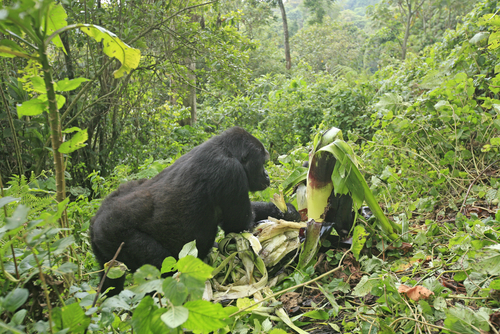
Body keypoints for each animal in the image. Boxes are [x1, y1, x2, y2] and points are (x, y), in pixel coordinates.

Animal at [90, 126, 294, 296]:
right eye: (262, 163)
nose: (267, 175)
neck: (227, 150)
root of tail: (95, 223)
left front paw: (286, 212)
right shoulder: (231, 172)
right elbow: (238, 228)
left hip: (104, 248)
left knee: (110, 283)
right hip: (116, 236)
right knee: (162, 267)